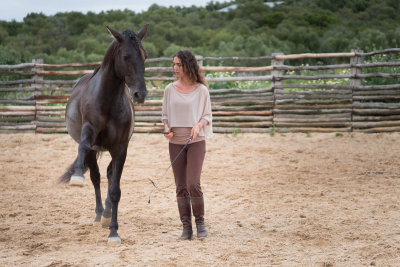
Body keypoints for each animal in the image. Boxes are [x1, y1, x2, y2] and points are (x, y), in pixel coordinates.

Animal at [61, 25, 150, 245]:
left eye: (145, 55)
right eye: (125, 56)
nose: (140, 94)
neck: (108, 101)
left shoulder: (120, 149)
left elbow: (116, 190)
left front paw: (113, 232)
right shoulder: (89, 135)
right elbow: (83, 147)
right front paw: (77, 177)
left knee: (109, 175)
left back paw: (107, 214)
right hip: (94, 151)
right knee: (95, 176)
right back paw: (99, 213)